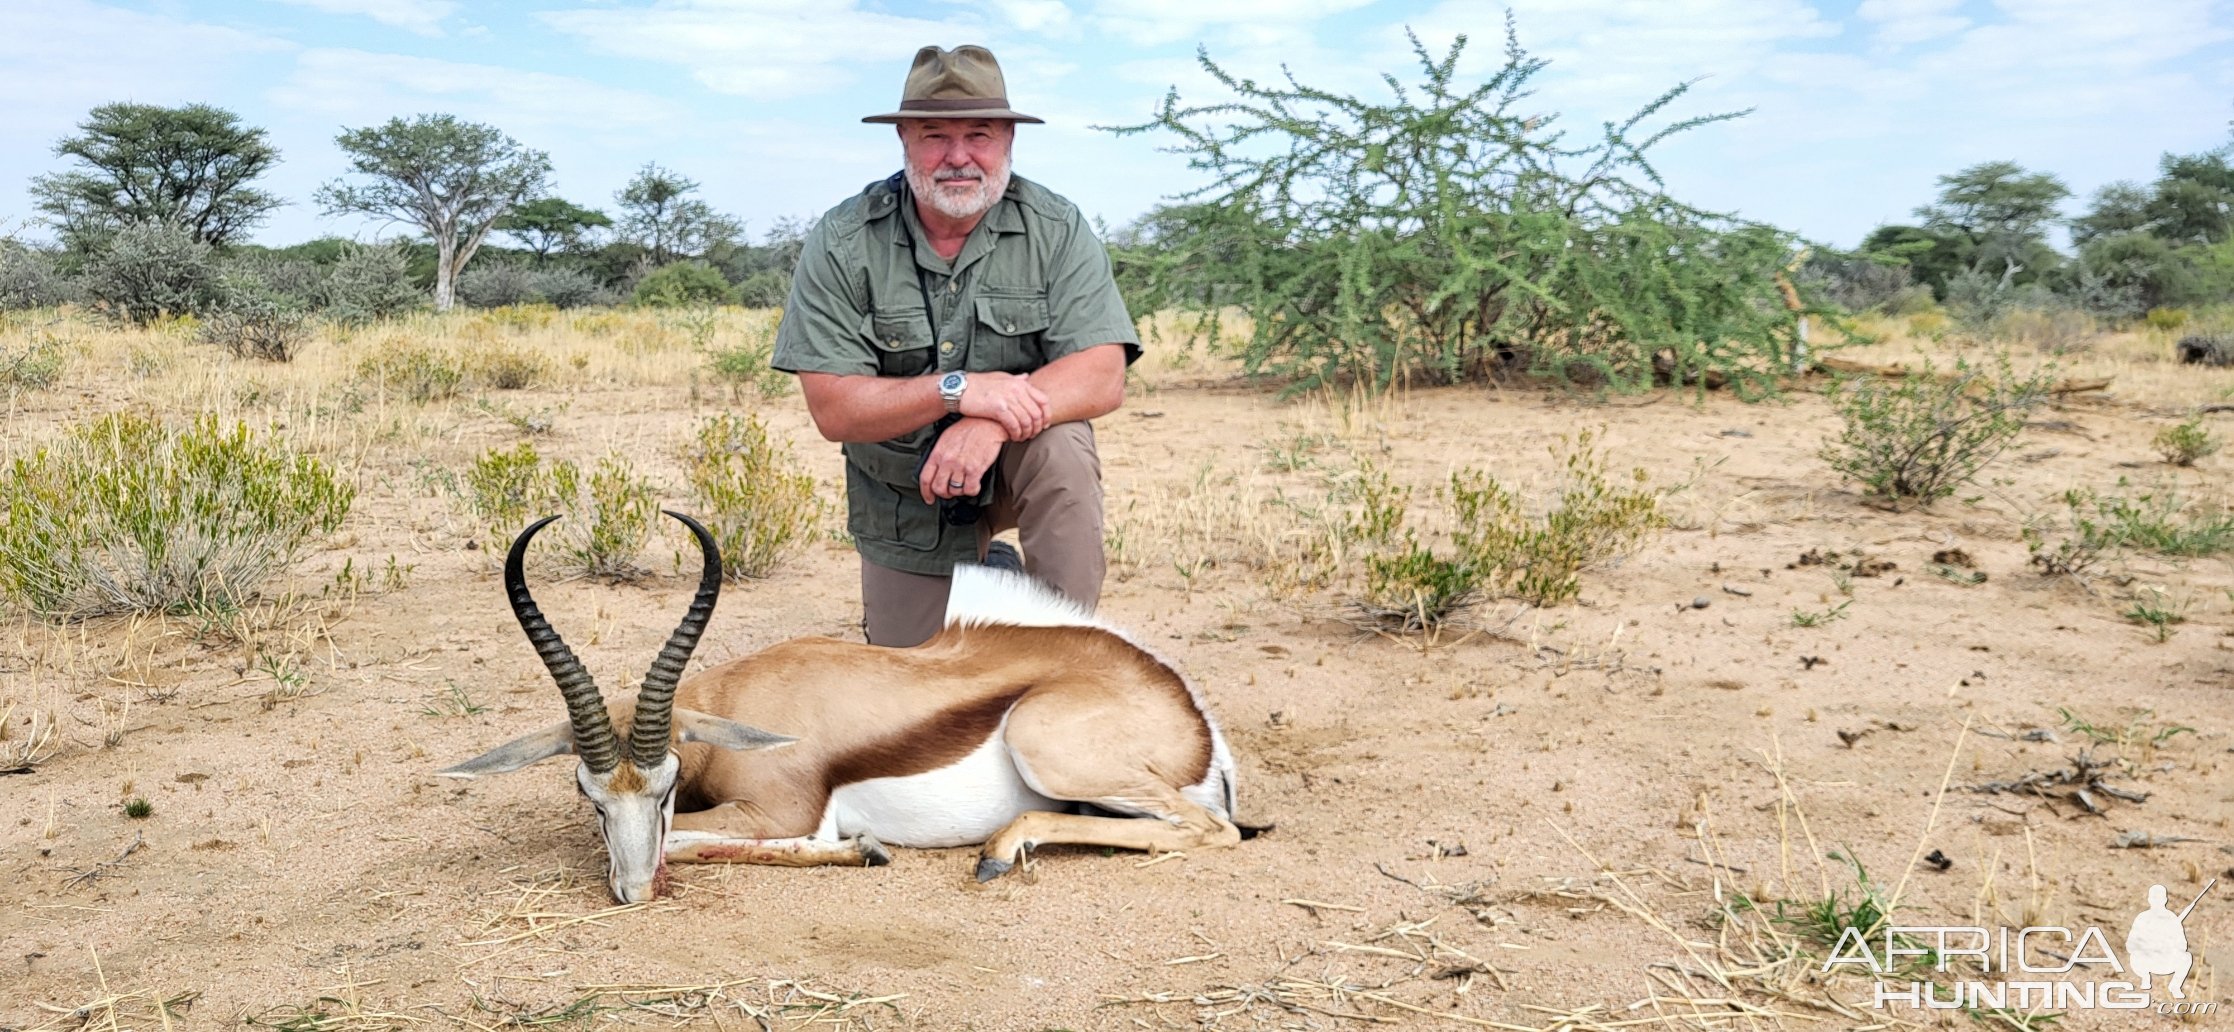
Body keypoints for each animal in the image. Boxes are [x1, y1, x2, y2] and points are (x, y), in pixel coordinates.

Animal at [444, 511, 1251, 897]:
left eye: (667, 786)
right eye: (590, 796)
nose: (635, 893)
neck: (740, 701)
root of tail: (1189, 714)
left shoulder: (777, 812)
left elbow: (691, 840)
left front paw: (863, 847)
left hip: (1045, 746)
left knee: (1215, 832)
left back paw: (997, 853)